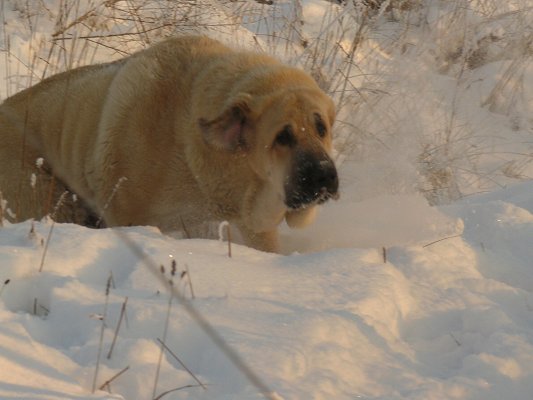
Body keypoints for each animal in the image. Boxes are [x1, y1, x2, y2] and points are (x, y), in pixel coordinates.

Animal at [0, 36, 338, 252]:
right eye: (282, 136)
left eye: (321, 127)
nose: (324, 174)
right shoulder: (127, 215)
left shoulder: (255, 224)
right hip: (44, 198)